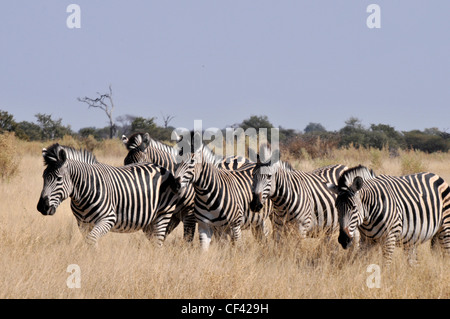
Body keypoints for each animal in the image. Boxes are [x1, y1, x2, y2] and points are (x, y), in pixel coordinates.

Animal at [37, 144, 181, 246]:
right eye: (43, 177)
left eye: (59, 179)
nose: (42, 207)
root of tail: (161, 167)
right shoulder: (82, 223)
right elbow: (88, 241)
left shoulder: (108, 218)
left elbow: (91, 239)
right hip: (148, 221)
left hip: (163, 214)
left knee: (158, 242)